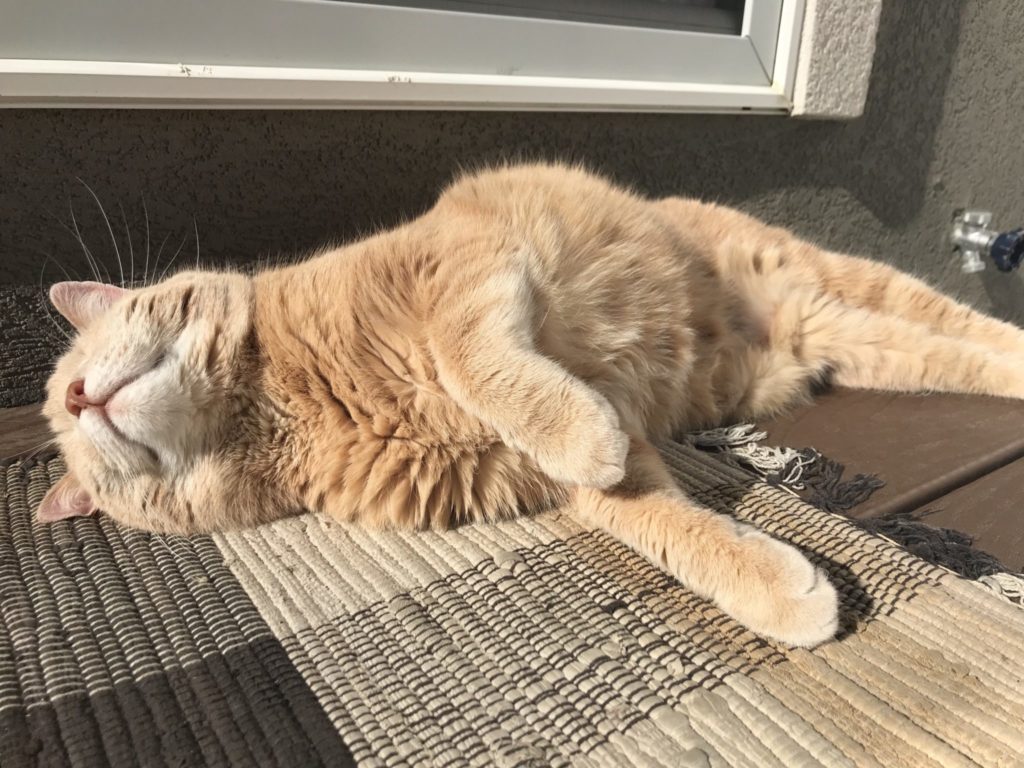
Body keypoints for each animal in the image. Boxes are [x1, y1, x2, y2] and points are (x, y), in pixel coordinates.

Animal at [37, 162, 1024, 651]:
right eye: (90, 470)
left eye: (82, 355)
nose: (80, 397)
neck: (282, 403)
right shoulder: (562, 476)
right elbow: (664, 526)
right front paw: (777, 590)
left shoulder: (460, 272)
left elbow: (476, 362)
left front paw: (572, 428)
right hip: (851, 339)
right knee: (951, 352)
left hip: (831, 275)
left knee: (961, 317)